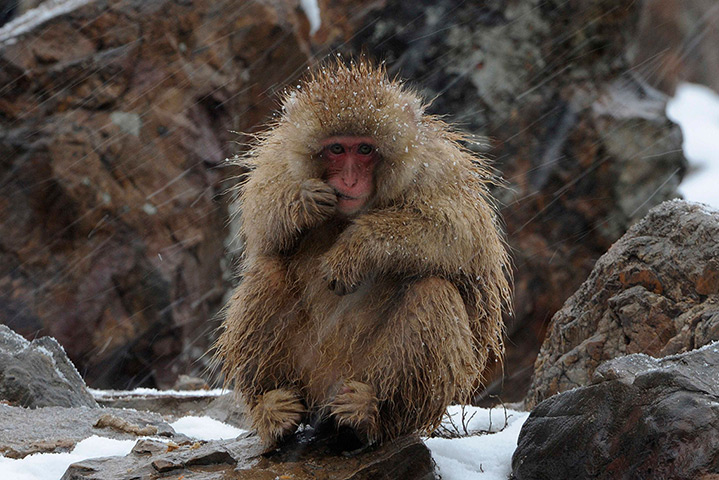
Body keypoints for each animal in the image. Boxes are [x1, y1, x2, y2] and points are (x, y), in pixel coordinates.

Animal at [215, 60, 511, 446]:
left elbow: (461, 235)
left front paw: (356, 248)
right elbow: (260, 220)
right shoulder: (279, 160)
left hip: (370, 373)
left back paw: (372, 415)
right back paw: (272, 408)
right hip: (306, 373)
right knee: (269, 270)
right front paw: (303, 202)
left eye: (365, 151)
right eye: (338, 150)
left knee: (434, 291)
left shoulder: (437, 169)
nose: (350, 180)